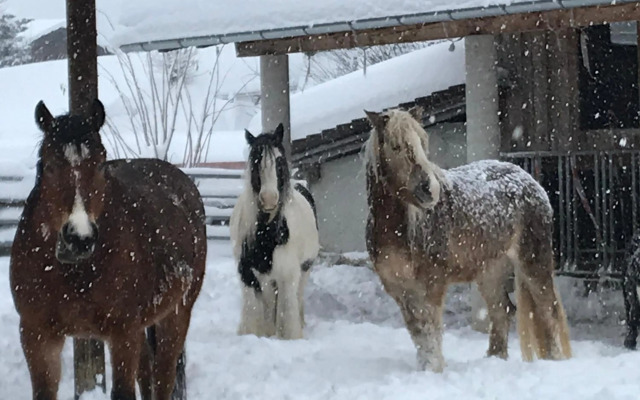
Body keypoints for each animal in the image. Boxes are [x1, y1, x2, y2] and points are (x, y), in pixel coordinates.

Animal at [10, 99, 206, 400]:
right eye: (50, 165)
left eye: (101, 163)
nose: (79, 238)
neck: (75, 273)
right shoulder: (37, 336)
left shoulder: (123, 333)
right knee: (147, 374)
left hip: (177, 314)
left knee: (163, 377)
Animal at [230, 123, 319, 340]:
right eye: (255, 162)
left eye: (279, 160)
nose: (269, 199)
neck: (266, 236)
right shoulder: (248, 274)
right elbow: (254, 316)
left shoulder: (287, 275)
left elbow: (286, 316)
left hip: (304, 270)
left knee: (297, 299)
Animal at [363, 106, 572, 372]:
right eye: (395, 146)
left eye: (422, 142)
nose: (429, 190)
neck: (400, 227)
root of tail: (530, 180)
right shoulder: (399, 288)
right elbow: (418, 331)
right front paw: (425, 367)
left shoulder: (432, 283)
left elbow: (430, 328)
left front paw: (434, 369)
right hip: (490, 271)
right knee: (503, 311)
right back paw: (494, 360)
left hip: (534, 261)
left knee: (548, 311)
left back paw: (554, 360)